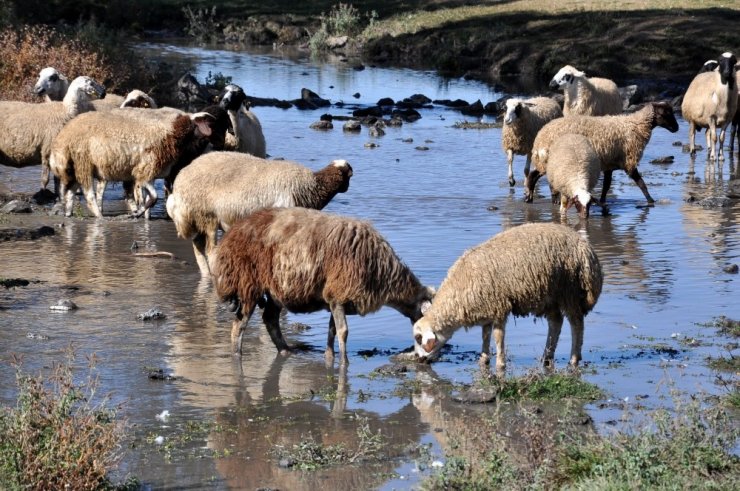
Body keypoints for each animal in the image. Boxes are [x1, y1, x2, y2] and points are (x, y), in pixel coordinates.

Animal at [166, 153, 354, 274]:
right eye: (349, 176)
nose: (348, 188)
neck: (312, 186)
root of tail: (179, 183)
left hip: (197, 219)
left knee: (198, 249)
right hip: (207, 215)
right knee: (210, 250)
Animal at [211, 207, 436, 366]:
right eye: (419, 335)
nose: (425, 358)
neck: (381, 272)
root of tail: (232, 234)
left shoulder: (335, 298)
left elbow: (332, 330)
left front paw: (329, 357)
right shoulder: (338, 295)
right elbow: (343, 331)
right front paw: (344, 362)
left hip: (275, 290)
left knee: (270, 319)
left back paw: (285, 351)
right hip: (247, 283)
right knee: (239, 326)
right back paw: (237, 355)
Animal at [414, 221, 604, 370]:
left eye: (418, 338)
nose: (419, 359)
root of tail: (587, 250)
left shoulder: (499, 305)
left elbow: (498, 337)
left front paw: (500, 363)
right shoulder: (487, 307)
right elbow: (485, 334)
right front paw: (484, 359)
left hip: (569, 290)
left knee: (576, 324)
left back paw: (574, 358)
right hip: (550, 295)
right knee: (556, 322)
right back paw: (547, 357)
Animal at [528, 102, 676, 206]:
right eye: (666, 114)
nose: (677, 128)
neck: (637, 126)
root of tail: (540, 138)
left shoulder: (609, 164)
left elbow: (606, 186)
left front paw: (602, 201)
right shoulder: (628, 160)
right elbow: (641, 183)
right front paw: (651, 200)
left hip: (548, 161)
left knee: (535, 176)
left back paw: (533, 198)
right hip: (551, 160)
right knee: (536, 176)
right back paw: (542, 198)